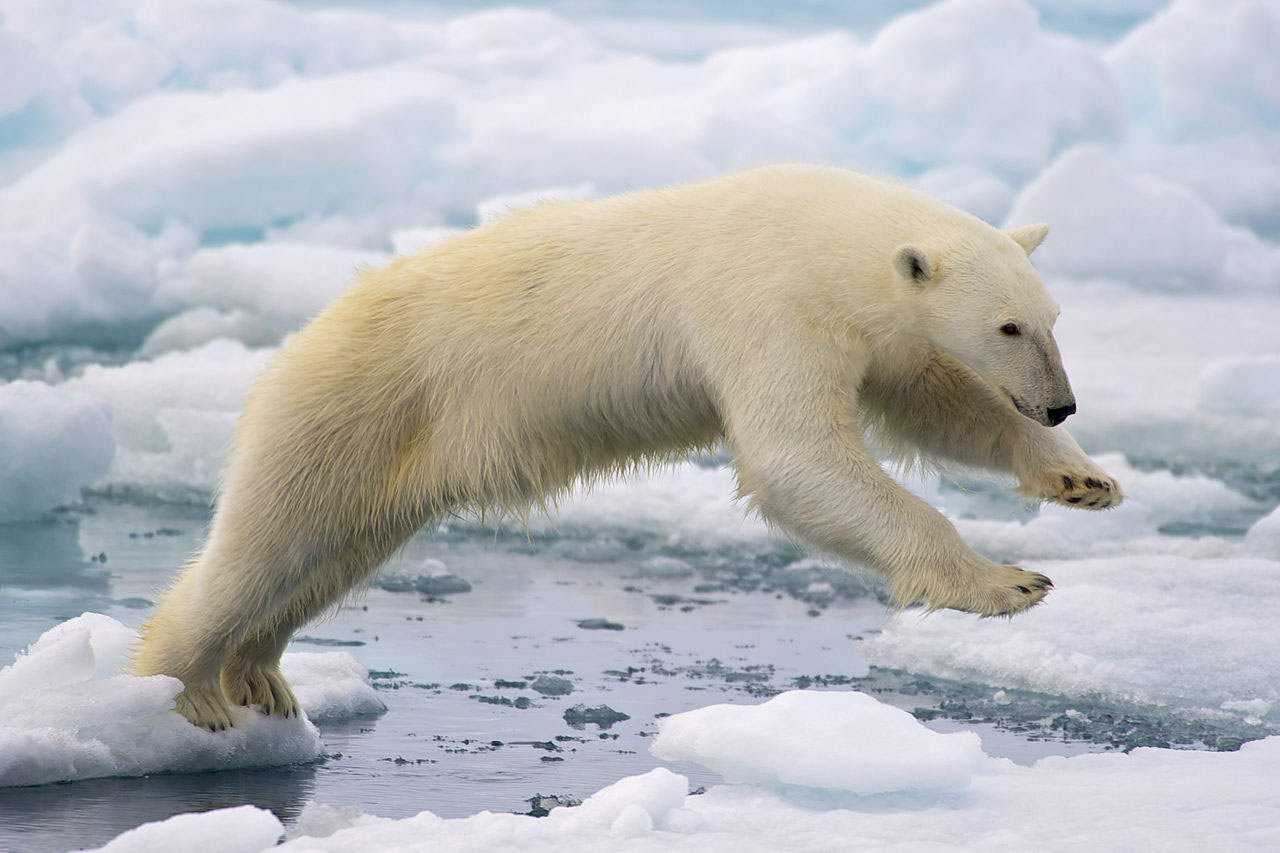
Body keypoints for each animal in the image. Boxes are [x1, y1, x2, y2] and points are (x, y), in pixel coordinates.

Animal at [135, 163, 1126, 722]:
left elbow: (934, 402)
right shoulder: (762, 305)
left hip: (394, 453)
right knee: (267, 541)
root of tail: (308, 331)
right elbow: (796, 455)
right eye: (1008, 325)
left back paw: (260, 673)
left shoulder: (868, 331)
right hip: (354, 402)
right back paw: (189, 690)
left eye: (1051, 318)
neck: (822, 238)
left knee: (333, 554)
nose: (1061, 404)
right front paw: (1008, 582)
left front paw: (1083, 480)